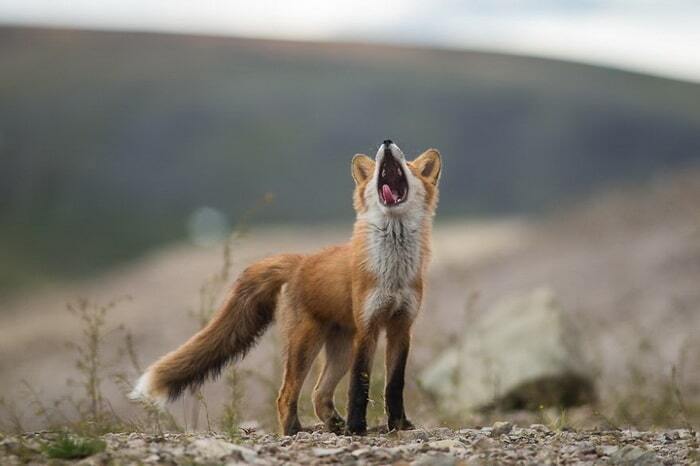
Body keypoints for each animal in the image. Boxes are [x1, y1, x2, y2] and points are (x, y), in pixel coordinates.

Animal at [129, 140, 440, 436]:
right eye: (377, 168)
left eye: (408, 166)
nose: (387, 142)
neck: (393, 273)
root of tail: (300, 260)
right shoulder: (368, 327)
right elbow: (359, 385)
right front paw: (357, 427)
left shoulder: (402, 326)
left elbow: (394, 384)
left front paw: (399, 425)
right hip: (306, 344)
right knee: (286, 394)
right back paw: (295, 430)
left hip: (340, 350)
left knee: (318, 394)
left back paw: (333, 426)